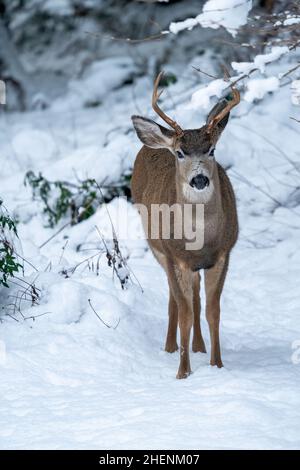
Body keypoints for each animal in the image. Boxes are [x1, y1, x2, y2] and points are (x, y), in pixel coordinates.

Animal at [131, 72, 239, 378]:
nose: (199, 179)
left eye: (211, 149)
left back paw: (198, 347)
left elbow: (212, 310)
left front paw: (217, 365)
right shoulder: (173, 256)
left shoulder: (223, 254)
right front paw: (182, 372)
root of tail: (153, 144)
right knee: (175, 301)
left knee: (195, 296)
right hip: (158, 249)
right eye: (180, 153)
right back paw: (170, 347)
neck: (200, 240)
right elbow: (184, 312)